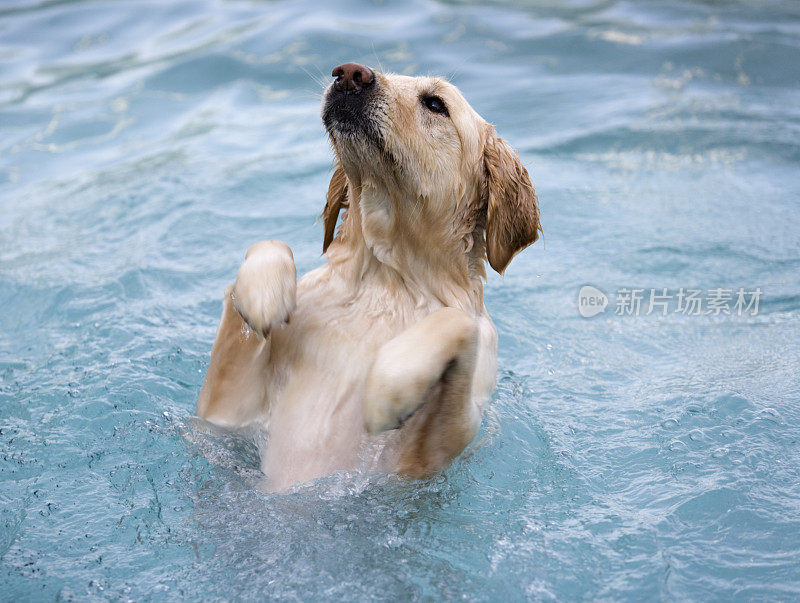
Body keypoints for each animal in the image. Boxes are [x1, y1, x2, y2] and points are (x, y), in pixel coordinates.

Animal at [196, 63, 540, 494]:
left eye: (435, 104)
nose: (349, 74)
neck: (385, 283)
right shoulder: (225, 417)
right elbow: (270, 245)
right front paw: (265, 294)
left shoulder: (422, 460)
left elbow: (458, 322)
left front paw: (389, 387)